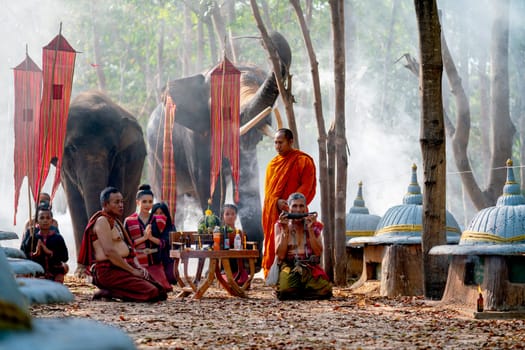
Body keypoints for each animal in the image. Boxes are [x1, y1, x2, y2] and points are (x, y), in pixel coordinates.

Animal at [146, 31, 290, 253]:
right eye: (224, 103)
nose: (269, 37)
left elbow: (247, 185)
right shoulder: (194, 140)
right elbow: (209, 189)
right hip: (156, 160)